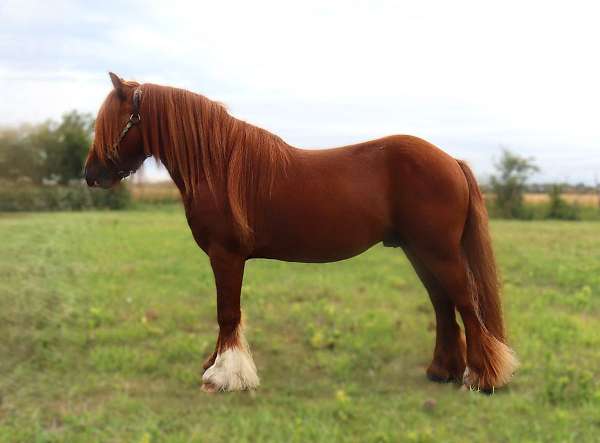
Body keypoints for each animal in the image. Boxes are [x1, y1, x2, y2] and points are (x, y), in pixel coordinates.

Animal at [83, 73, 516, 396]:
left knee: (464, 301)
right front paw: (216, 365)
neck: (217, 167)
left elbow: (227, 313)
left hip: (438, 251)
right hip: (418, 251)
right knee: (443, 304)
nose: (90, 174)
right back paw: (442, 371)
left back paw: (482, 377)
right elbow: (226, 314)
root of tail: (451, 160)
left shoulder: (226, 255)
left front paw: (224, 376)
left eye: (116, 122)